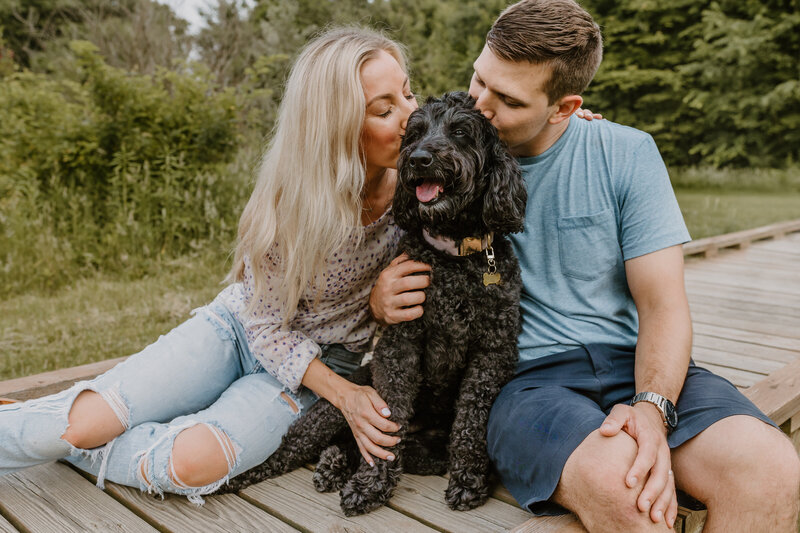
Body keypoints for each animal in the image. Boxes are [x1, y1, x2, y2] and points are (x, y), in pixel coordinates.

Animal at [216, 91, 528, 516]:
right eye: (415, 133)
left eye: (461, 132)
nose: (419, 159)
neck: (452, 257)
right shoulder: (400, 346)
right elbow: (388, 422)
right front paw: (369, 486)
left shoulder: (492, 353)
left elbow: (472, 422)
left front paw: (468, 480)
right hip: (344, 399)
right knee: (295, 445)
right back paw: (257, 474)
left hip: (428, 446)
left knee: (396, 446)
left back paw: (335, 464)